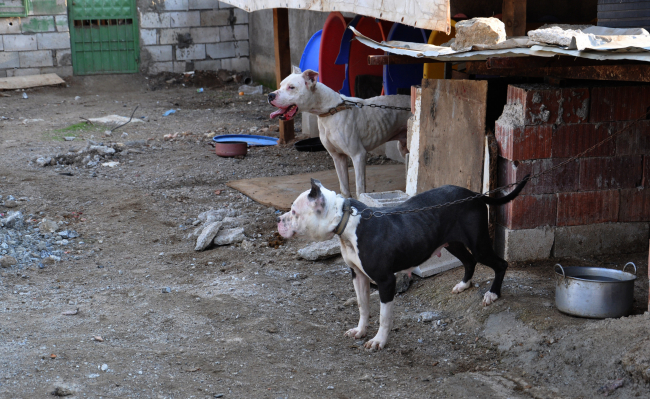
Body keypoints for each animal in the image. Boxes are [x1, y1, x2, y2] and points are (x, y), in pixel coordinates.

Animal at [266, 69, 408, 200]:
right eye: (280, 85)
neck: (330, 111)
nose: (270, 95)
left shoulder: (358, 155)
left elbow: (360, 189)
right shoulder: (338, 157)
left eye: (292, 87)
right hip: (403, 147)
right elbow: (344, 187)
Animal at [274, 178, 528, 350]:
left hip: (478, 244)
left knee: (500, 264)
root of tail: (475, 194)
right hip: (452, 243)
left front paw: (378, 341)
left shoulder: (386, 281)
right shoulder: (358, 275)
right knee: (469, 261)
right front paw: (360, 331)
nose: (278, 219)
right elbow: (363, 307)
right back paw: (463, 285)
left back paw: (492, 294)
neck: (345, 221)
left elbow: (384, 316)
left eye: (294, 212)